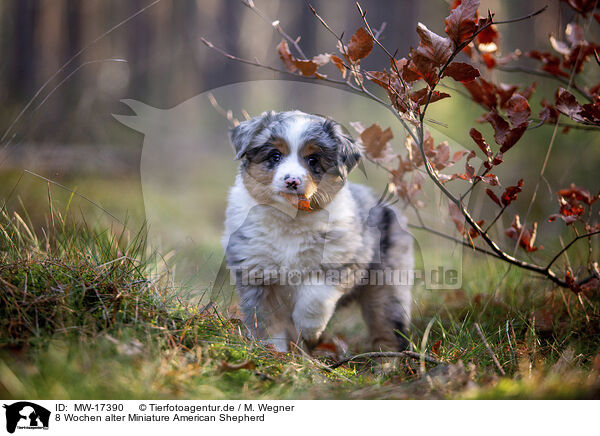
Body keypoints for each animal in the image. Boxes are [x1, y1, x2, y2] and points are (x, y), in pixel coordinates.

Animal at [220, 110, 412, 352]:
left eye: (313, 160)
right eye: (275, 156)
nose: (292, 181)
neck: (290, 221)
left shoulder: (341, 260)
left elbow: (315, 298)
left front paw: (309, 331)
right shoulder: (255, 272)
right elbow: (267, 322)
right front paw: (275, 352)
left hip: (387, 287)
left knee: (388, 330)